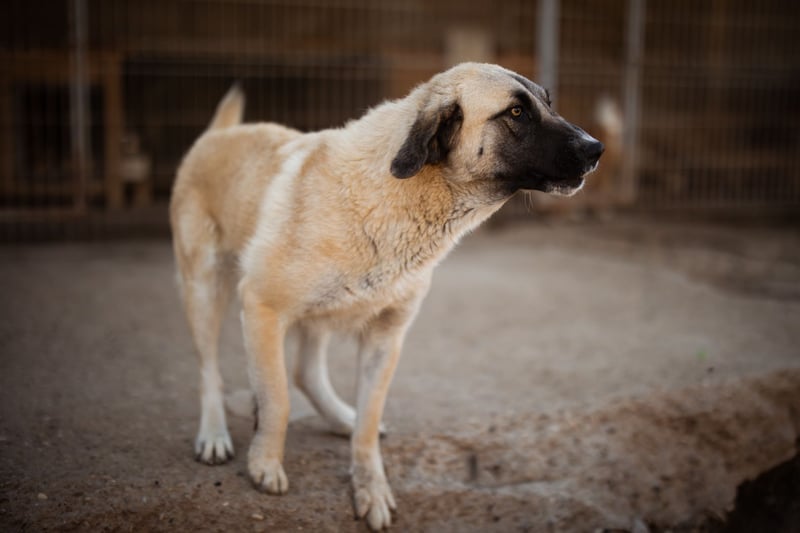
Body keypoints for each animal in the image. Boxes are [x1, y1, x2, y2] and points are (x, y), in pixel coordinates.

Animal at [170, 62, 603, 530]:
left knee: (306, 372)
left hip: (319, 313)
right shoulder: (262, 306)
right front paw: (265, 463)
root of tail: (218, 134)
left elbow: (365, 418)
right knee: (210, 370)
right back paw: (214, 434)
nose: (596, 148)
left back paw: (339, 416)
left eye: (547, 102)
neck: (395, 198)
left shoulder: (386, 336)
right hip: (204, 288)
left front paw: (370, 486)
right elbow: (278, 400)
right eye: (517, 112)